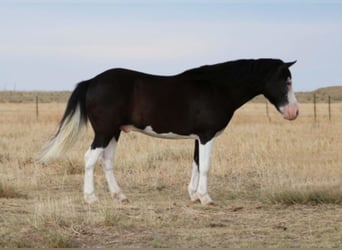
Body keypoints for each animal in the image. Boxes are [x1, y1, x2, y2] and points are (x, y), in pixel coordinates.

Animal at [40, 59, 300, 205]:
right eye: (286, 81)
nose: (294, 112)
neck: (217, 87)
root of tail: (92, 81)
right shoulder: (207, 136)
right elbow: (206, 166)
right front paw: (206, 198)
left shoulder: (198, 137)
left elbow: (196, 163)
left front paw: (194, 195)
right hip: (104, 132)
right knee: (90, 158)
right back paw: (91, 198)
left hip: (115, 132)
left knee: (107, 161)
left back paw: (120, 196)